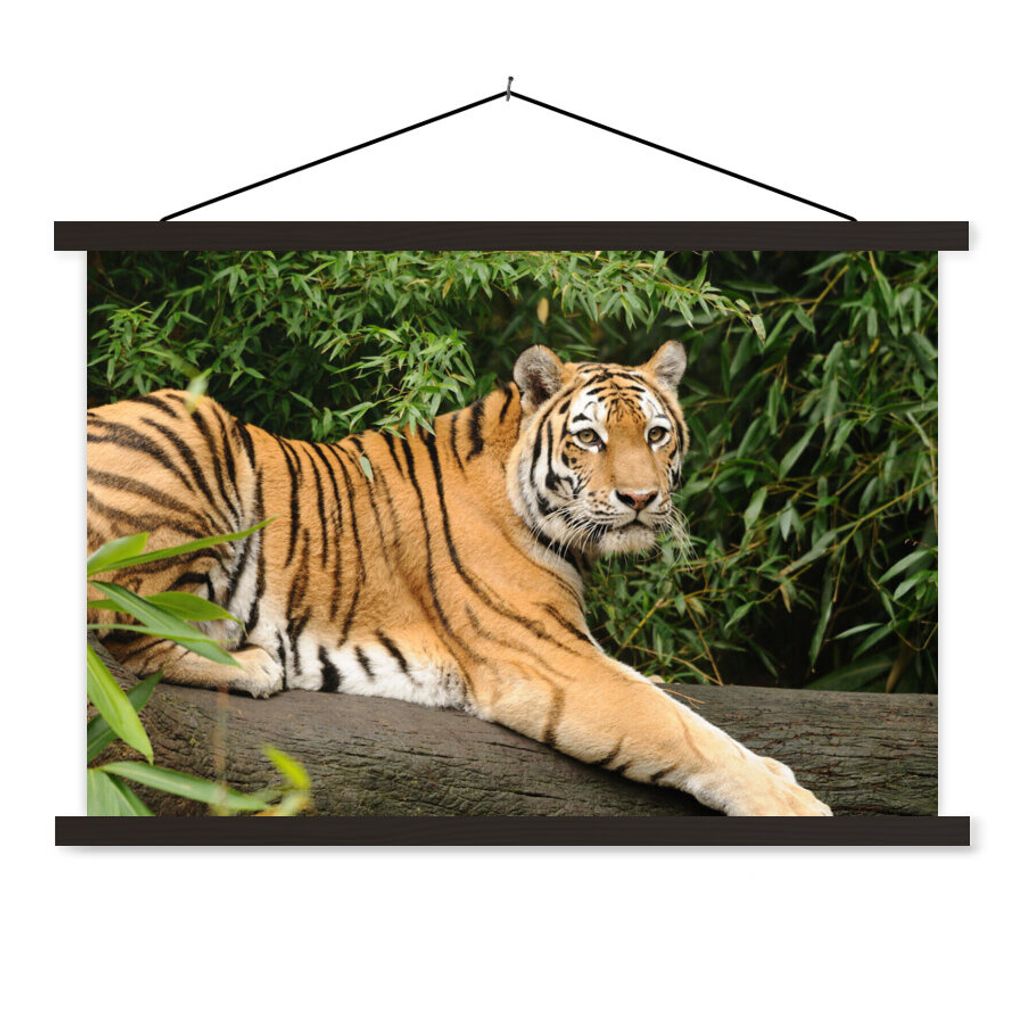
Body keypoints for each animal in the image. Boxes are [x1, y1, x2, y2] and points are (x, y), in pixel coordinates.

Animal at [87, 341, 831, 816]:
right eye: (589, 437)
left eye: (655, 434)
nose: (642, 499)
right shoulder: (547, 658)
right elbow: (681, 729)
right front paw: (795, 802)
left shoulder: (570, 647)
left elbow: (673, 703)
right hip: (192, 433)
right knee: (123, 630)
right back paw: (253, 663)